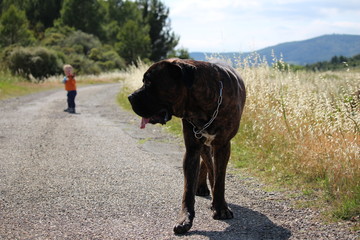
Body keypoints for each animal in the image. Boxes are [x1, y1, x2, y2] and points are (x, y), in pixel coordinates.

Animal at [128, 58, 246, 234]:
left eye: (149, 82)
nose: (130, 97)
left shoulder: (223, 146)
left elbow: (220, 180)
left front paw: (221, 208)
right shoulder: (192, 149)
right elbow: (188, 189)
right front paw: (185, 219)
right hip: (203, 145)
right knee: (207, 164)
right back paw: (203, 186)